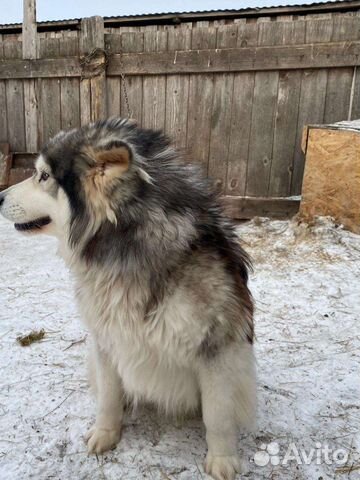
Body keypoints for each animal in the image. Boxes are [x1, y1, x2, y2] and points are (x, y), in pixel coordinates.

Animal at [0, 117, 258, 480]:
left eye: (44, 176)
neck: (126, 247)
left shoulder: (216, 348)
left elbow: (218, 415)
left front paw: (222, 459)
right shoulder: (107, 339)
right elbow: (109, 398)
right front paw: (106, 434)